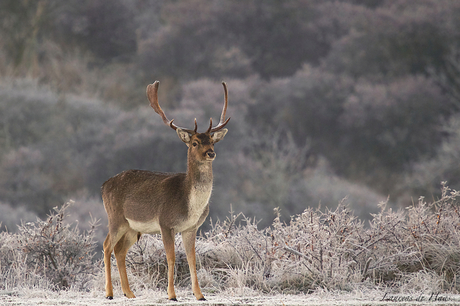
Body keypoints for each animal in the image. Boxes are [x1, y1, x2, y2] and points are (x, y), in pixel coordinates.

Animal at [101, 80, 229, 300]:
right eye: (195, 143)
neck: (190, 203)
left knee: (119, 250)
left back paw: (129, 293)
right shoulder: (165, 223)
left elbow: (192, 259)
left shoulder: (191, 227)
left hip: (132, 228)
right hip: (116, 217)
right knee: (107, 245)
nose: (211, 153)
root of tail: (103, 186)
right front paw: (171, 294)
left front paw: (199, 294)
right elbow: (170, 257)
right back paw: (109, 293)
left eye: (212, 141)